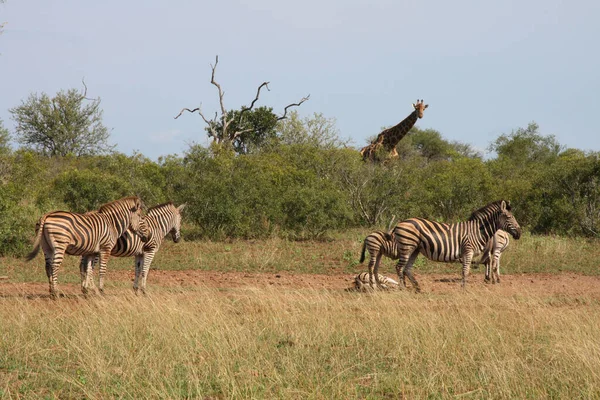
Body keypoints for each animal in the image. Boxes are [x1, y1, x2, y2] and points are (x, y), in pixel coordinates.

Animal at [390, 199, 520, 290]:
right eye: (509, 217)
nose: (519, 233)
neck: (477, 230)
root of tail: (399, 223)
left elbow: (466, 270)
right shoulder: (468, 250)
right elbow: (465, 271)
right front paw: (464, 289)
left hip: (414, 249)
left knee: (407, 269)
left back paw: (416, 287)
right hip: (407, 246)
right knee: (399, 267)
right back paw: (402, 288)